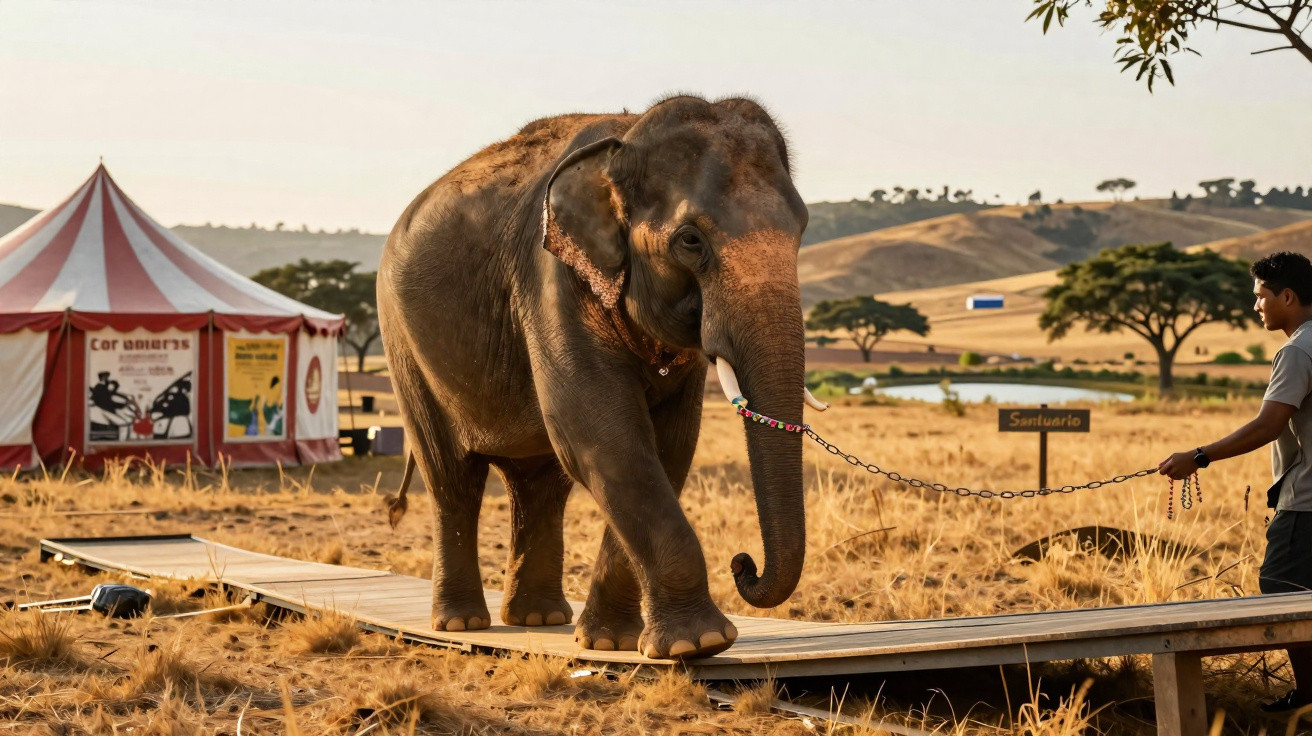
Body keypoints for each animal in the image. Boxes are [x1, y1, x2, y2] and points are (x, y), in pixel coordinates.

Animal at [377, 95, 827, 660]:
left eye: (802, 230)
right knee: (452, 477)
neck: (625, 142)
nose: (743, 563)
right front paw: (700, 644)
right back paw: (461, 624)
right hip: (402, 342)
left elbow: (667, 444)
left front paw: (615, 642)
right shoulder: (551, 277)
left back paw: (539, 617)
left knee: (538, 484)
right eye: (690, 240)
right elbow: (601, 434)